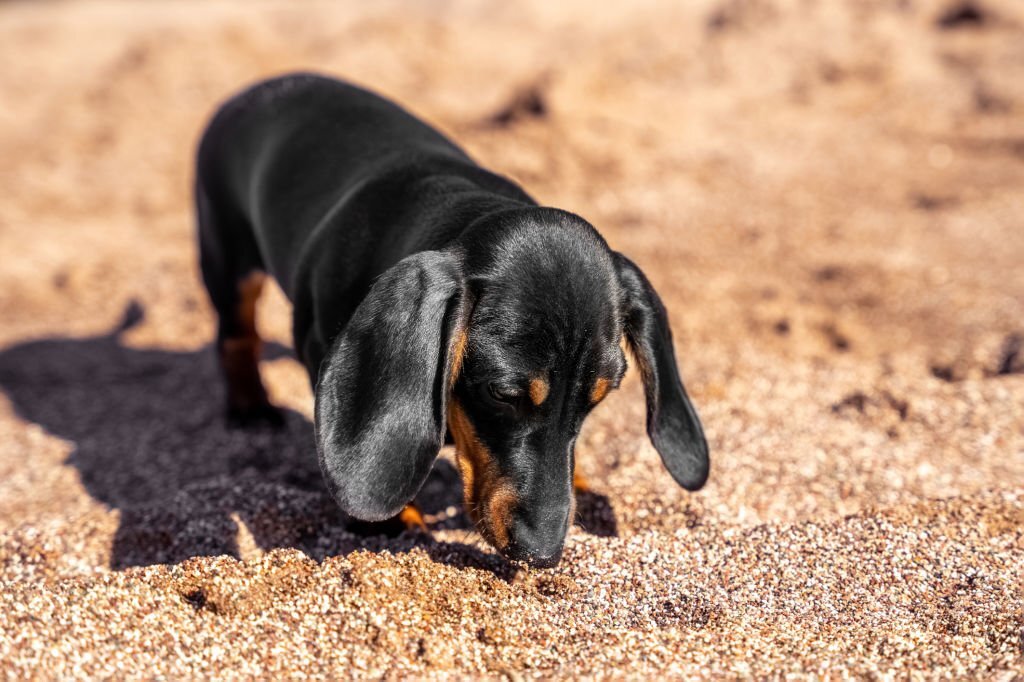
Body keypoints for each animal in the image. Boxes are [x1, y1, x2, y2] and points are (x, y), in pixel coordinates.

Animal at [195, 71, 708, 565]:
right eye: (502, 394)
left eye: (597, 400)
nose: (543, 554)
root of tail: (258, 89)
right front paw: (391, 521)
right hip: (227, 254)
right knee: (236, 334)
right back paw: (251, 408)